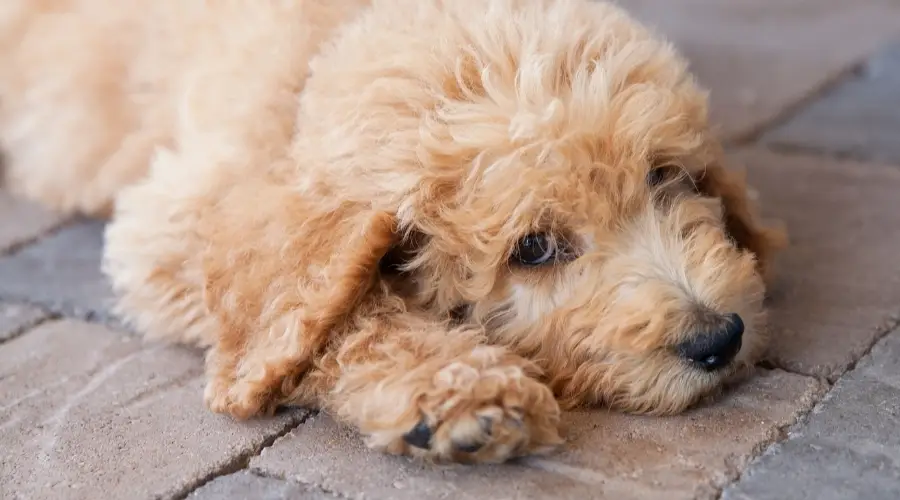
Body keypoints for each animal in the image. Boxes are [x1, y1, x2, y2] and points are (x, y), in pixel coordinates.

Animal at [0, 0, 780, 464]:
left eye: (664, 175)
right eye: (534, 248)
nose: (717, 338)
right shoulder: (171, 223)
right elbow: (338, 312)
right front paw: (459, 390)